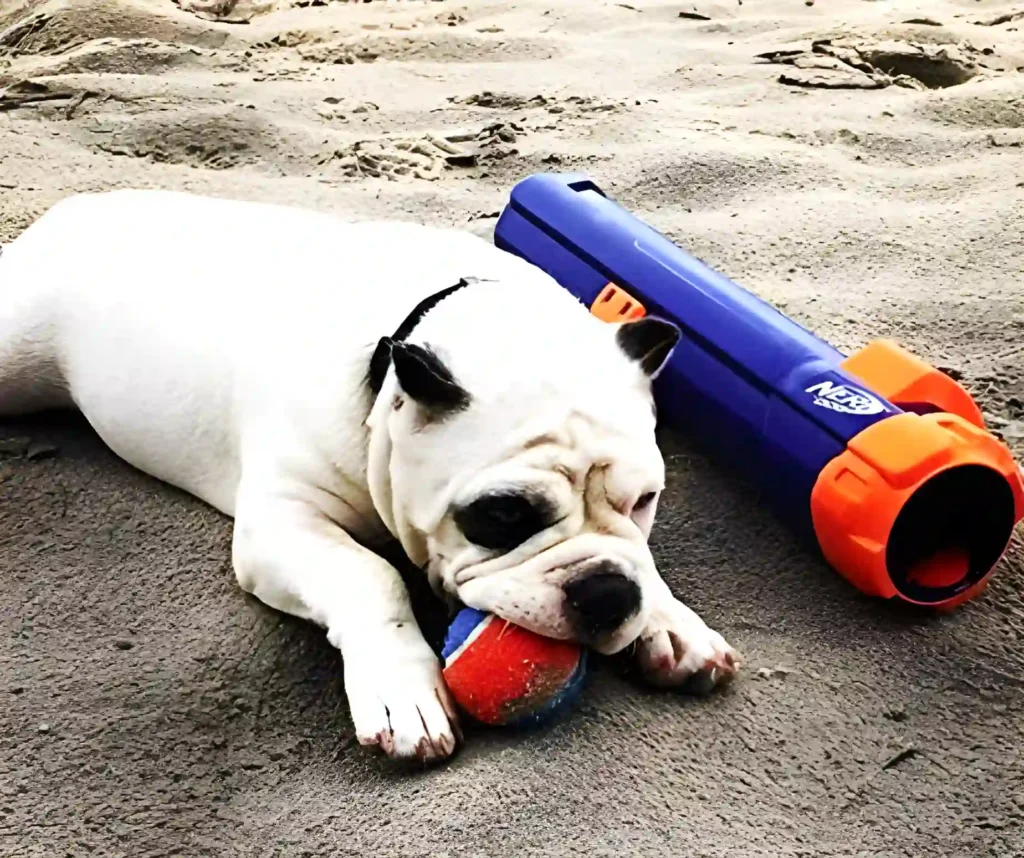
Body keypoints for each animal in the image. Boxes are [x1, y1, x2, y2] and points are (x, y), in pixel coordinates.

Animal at [0, 191, 741, 761]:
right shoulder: (283, 522)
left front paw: (667, 616)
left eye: (646, 500)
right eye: (500, 516)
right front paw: (403, 692)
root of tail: (74, 209)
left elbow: (640, 560)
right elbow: (370, 575)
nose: (606, 594)